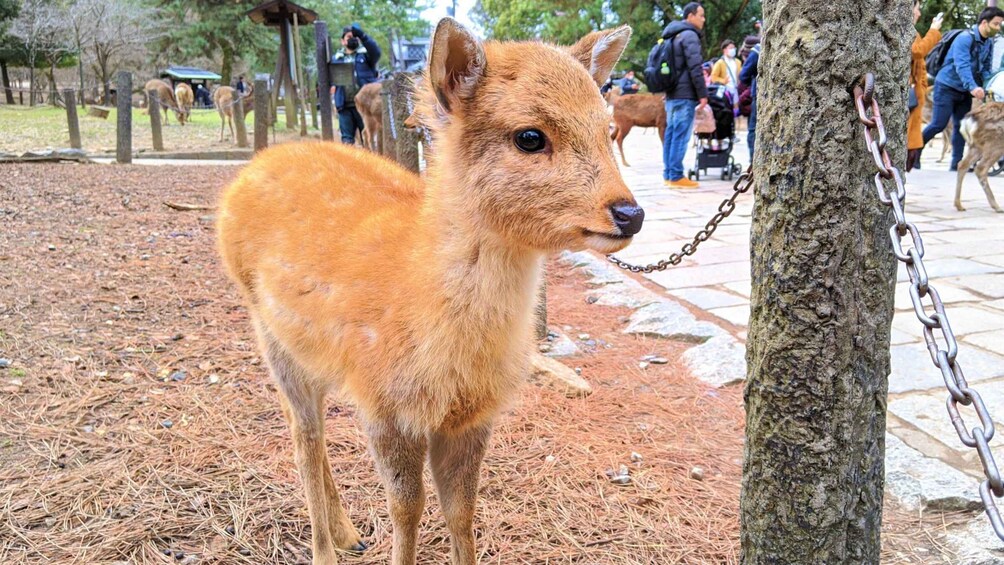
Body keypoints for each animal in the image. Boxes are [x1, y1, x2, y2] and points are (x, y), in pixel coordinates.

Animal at [216, 17, 646, 565]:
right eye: (530, 136)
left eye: (608, 128)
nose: (629, 213)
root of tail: (247, 174)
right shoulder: (385, 405)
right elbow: (407, 508)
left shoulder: (471, 418)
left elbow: (461, 510)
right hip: (273, 339)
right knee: (304, 435)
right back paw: (325, 549)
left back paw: (349, 533)